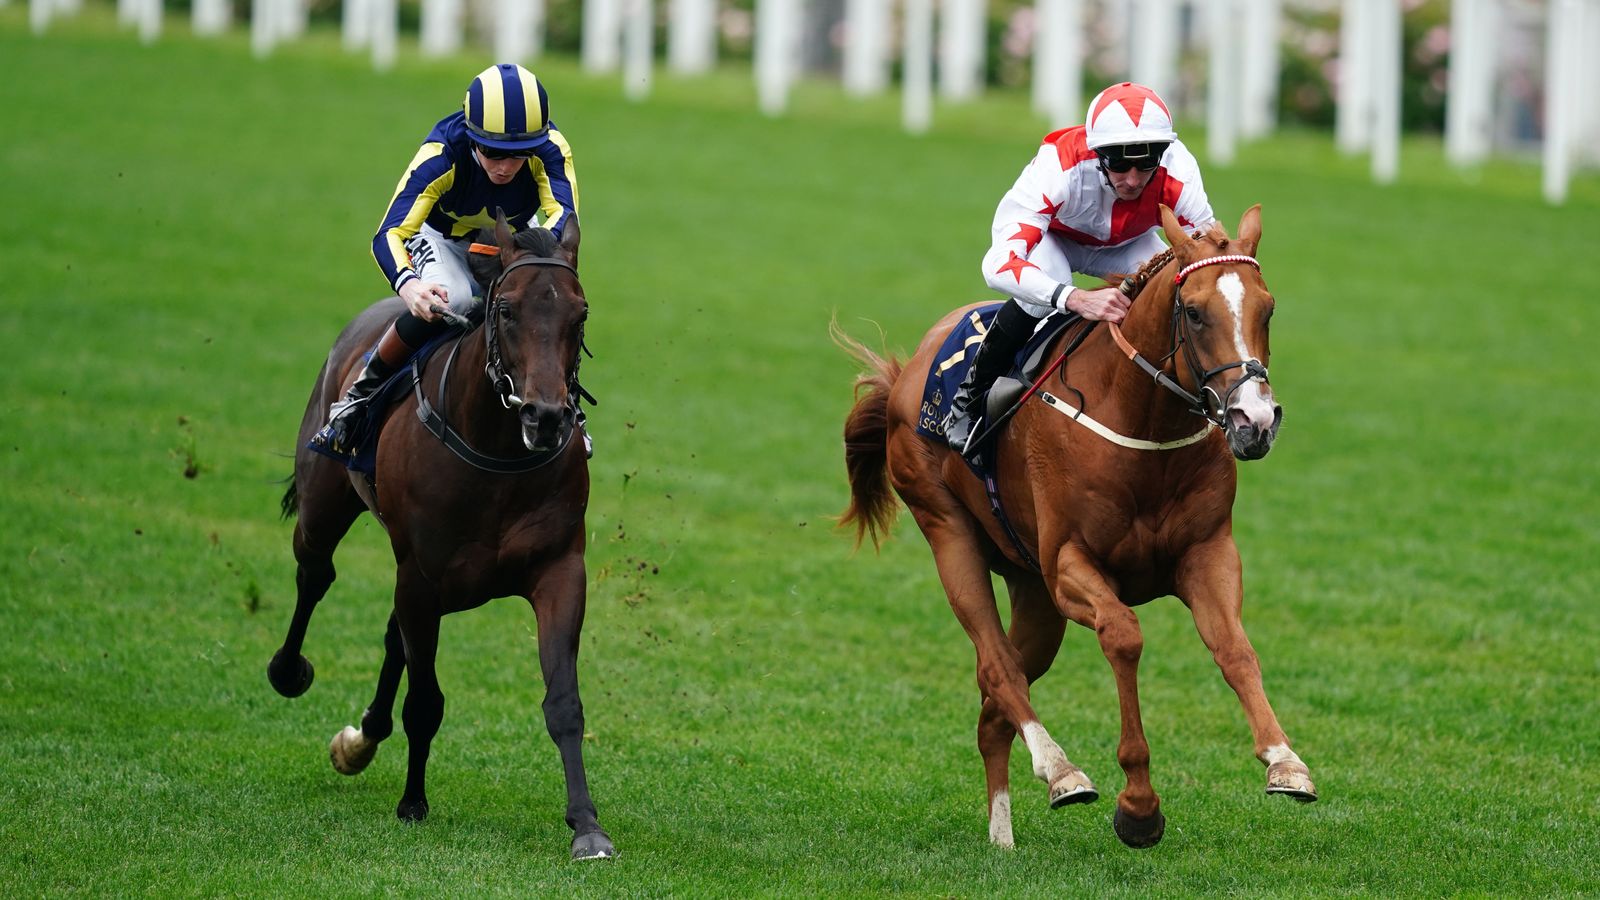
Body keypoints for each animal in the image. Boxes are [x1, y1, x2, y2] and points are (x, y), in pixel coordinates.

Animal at [268, 212, 611, 858]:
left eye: (579, 315)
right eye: (506, 310)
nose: (547, 417)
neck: (496, 454)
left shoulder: (559, 570)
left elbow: (564, 702)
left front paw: (587, 826)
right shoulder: (422, 579)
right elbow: (426, 701)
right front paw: (412, 803)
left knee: (390, 638)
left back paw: (362, 738)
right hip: (325, 506)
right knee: (316, 573)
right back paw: (288, 671)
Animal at [838, 204, 1312, 845]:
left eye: (1268, 308)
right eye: (1194, 312)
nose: (1254, 420)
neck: (1142, 422)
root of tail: (908, 371)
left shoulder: (1207, 552)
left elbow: (1235, 649)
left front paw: (1285, 762)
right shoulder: (1069, 565)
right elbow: (1125, 636)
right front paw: (1138, 806)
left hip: (1032, 591)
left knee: (994, 705)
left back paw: (1003, 838)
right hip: (949, 532)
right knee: (998, 668)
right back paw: (1061, 771)